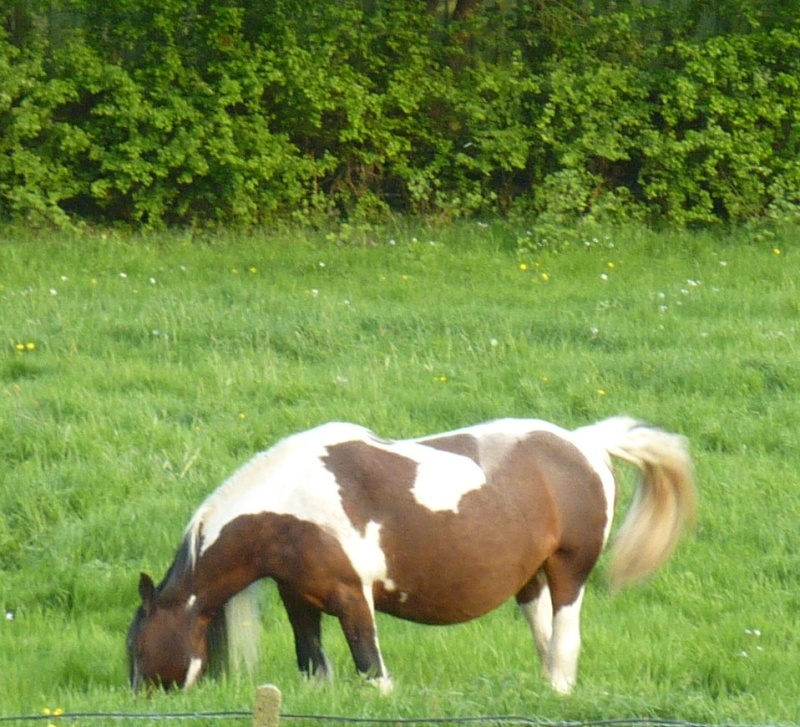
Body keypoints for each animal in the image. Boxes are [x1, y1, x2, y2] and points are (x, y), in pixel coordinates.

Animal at [128, 416, 696, 692]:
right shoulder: (300, 600)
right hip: (529, 579)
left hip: (568, 573)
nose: (136, 699)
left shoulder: (352, 598)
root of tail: (584, 442)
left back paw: (559, 689)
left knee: (565, 640)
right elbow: (313, 663)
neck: (291, 505)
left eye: (136, 648)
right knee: (542, 633)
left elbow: (370, 666)